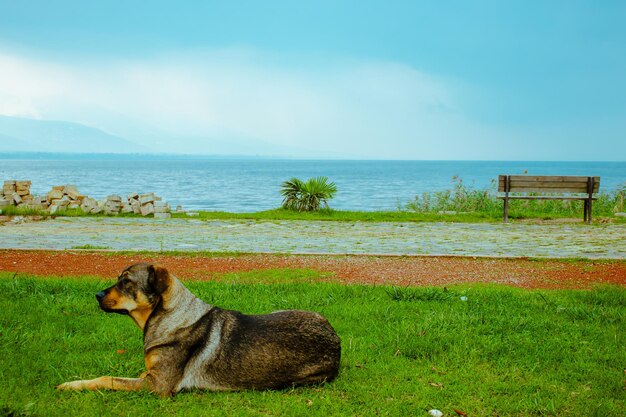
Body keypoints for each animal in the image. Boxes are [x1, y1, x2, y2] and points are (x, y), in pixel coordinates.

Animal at [57, 262, 342, 394]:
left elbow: (107, 379)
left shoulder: (158, 386)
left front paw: (71, 385)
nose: (96, 295)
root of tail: (335, 338)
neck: (167, 316)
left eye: (126, 282)